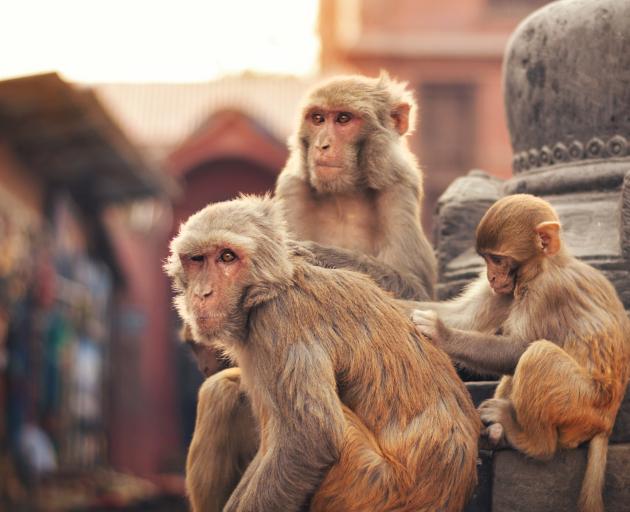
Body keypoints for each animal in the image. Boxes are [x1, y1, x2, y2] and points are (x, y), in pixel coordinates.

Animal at [165, 194, 482, 510]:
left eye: (227, 257)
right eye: (197, 259)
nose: (202, 293)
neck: (270, 289)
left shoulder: (279, 320)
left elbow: (310, 441)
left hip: (369, 486)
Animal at [276, 72, 440, 304]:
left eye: (343, 118)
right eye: (317, 118)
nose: (322, 145)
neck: (344, 195)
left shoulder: (399, 187)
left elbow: (418, 292)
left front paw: (317, 254)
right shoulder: (293, 187)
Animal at [412, 193, 628, 512]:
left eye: (498, 260)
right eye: (486, 260)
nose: (491, 276)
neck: (543, 267)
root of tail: (606, 422)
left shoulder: (547, 292)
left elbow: (518, 349)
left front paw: (441, 333)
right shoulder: (509, 289)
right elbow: (465, 317)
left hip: (583, 407)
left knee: (539, 355)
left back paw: (533, 443)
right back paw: (499, 432)